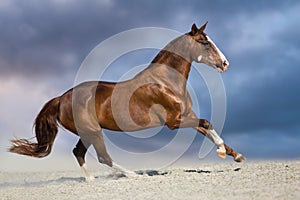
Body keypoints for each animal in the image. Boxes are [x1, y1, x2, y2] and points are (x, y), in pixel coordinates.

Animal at [9, 22, 245, 181]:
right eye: (204, 42)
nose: (225, 63)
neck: (165, 81)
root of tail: (61, 98)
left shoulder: (187, 116)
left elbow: (207, 127)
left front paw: (236, 156)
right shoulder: (174, 122)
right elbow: (206, 123)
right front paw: (222, 151)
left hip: (87, 133)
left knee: (79, 152)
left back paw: (90, 181)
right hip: (93, 131)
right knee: (103, 157)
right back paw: (135, 175)